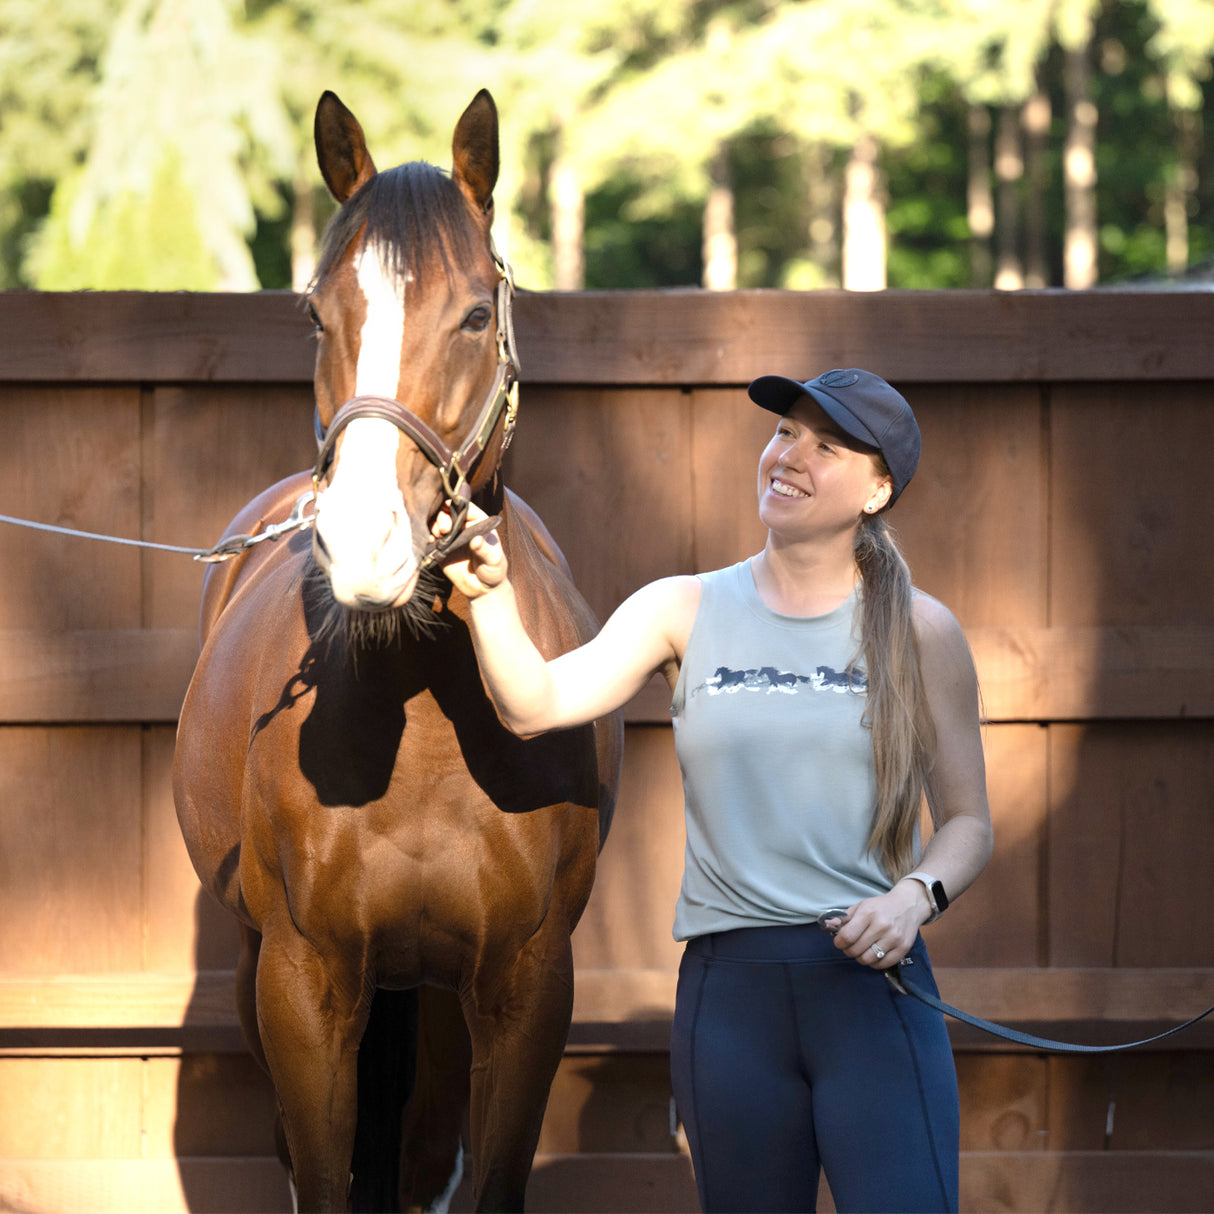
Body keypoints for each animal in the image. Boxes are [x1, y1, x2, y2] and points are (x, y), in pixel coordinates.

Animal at [173, 88, 622, 1212]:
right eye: (316, 313)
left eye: (474, 315)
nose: (363, 543)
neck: (423, 727)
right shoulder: (303, 980)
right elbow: (326, 1174)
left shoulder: (526, 985)